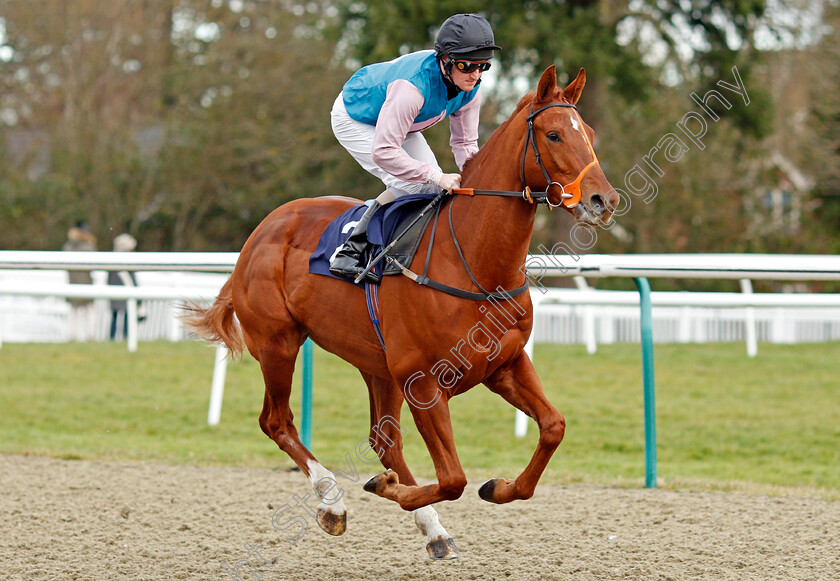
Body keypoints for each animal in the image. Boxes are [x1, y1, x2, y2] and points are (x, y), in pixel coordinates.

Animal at [185, 65, 616, 560]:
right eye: (554, 134)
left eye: (590, 134)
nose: (604, 201)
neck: (474, 261)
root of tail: (260, 232)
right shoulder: (423, 380)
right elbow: (453, 478)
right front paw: (383, 489)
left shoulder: (504, 365)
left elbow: (552, 428)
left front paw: (498, 487)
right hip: (278, 343)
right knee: (277, 421)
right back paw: (333, 503)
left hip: (376, 364)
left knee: (383, 441)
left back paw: (431, 528)